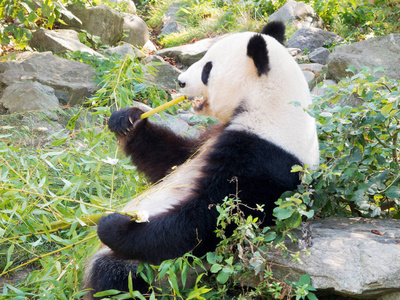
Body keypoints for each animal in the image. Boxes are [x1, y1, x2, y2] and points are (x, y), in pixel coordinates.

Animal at [83, 20, 318, 298]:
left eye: (207, 68)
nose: (180, 82)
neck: (272, 105)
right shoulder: (213, 137)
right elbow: (171, 160)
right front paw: (128, 120)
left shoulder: (264, 158)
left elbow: (206, 219)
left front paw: (115, 224)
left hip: (160, 271)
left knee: (117, 279)